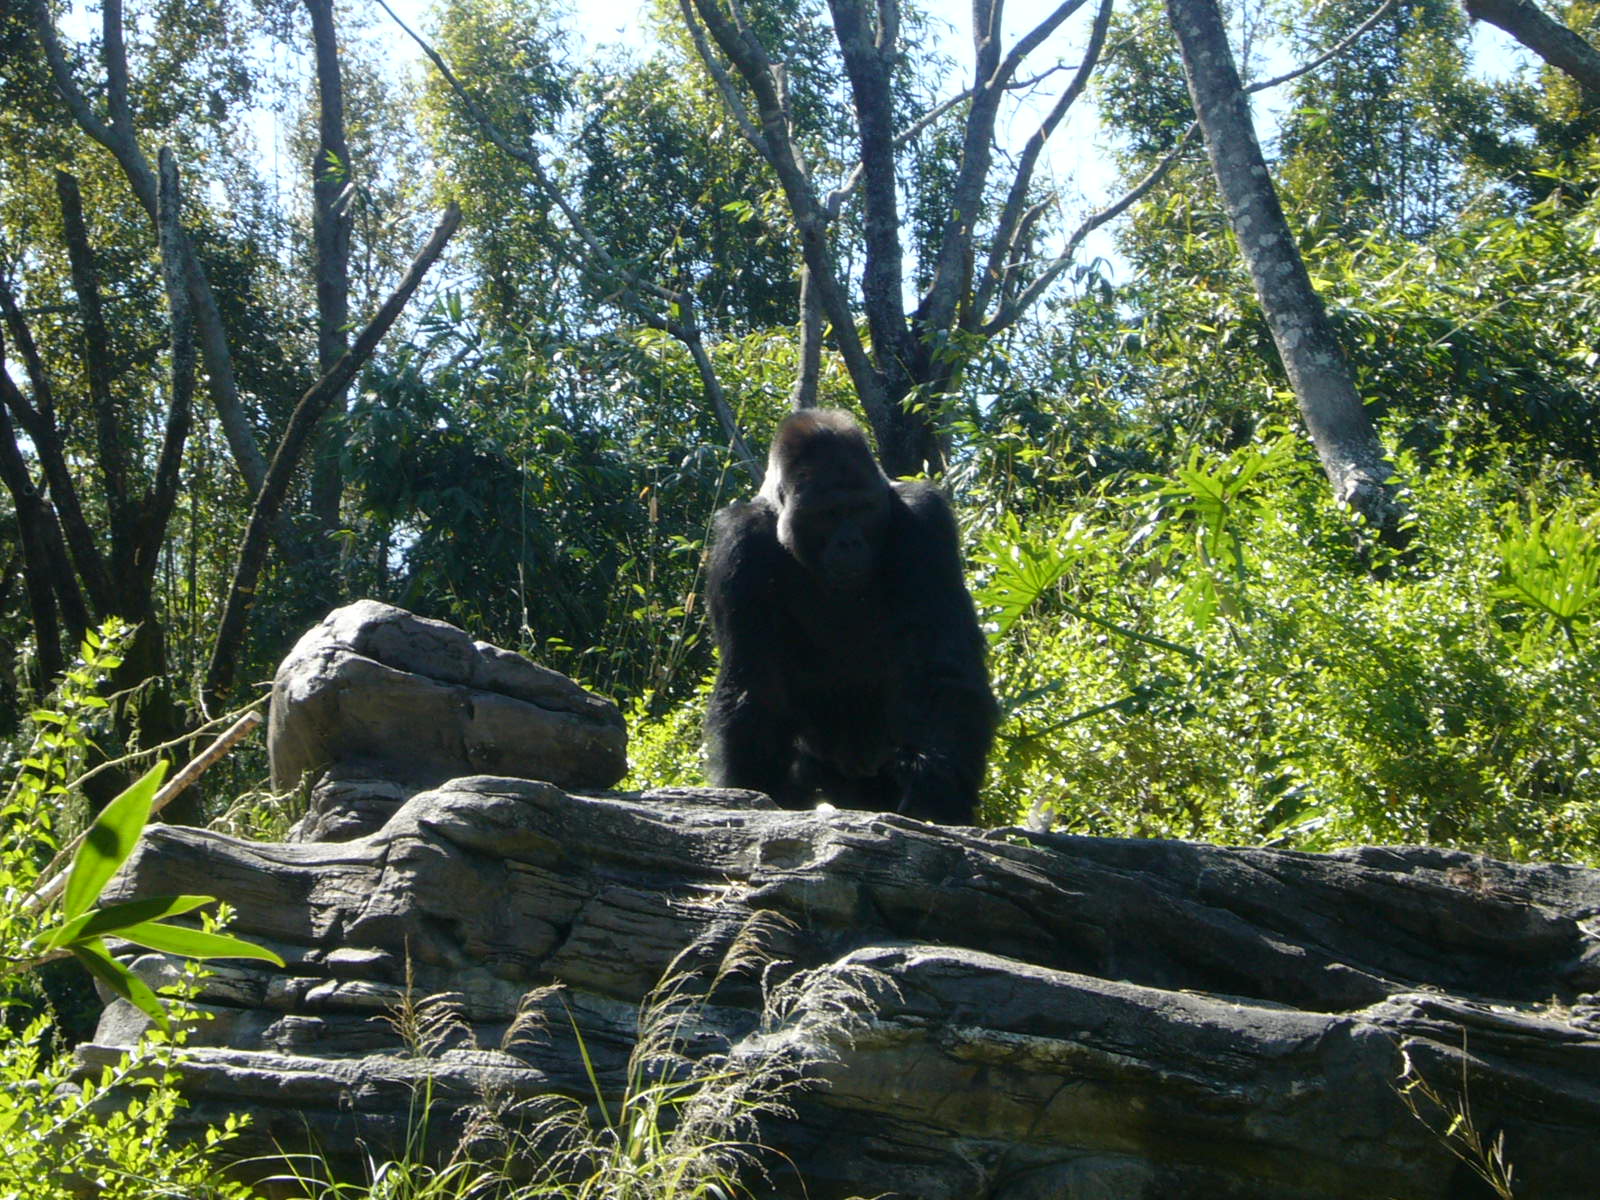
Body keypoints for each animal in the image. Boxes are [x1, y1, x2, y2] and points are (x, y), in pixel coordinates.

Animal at [704, 409, 992, 825]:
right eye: (826, 514)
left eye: (862, 509)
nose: (849, 543)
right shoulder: (738, 542)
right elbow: (755, 684)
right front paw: (753, 788)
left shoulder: (924, 519)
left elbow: (938, 663)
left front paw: (935, 793)